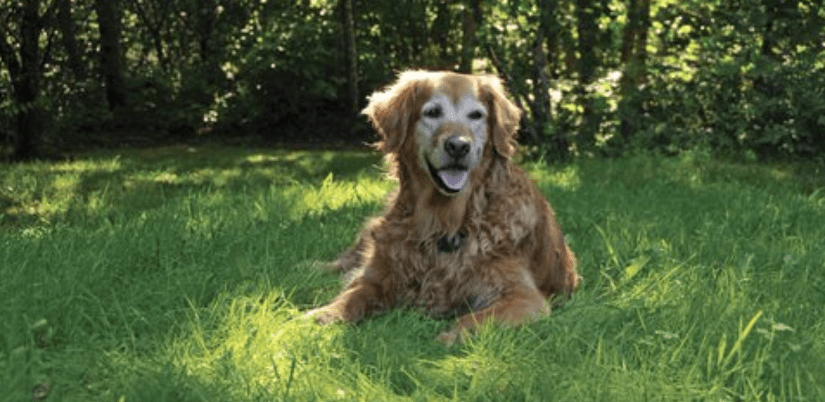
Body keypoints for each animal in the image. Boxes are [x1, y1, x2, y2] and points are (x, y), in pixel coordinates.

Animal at [304, 70, 580, 346]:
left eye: (476, 115)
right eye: (433, 112)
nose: (458, 145)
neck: (445, 221)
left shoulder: (525, 297)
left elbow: (477, 318)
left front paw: (450, 336)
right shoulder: (378, 276)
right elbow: (351, 296)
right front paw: (319, 315)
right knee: (347, 259)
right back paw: (313, 267)